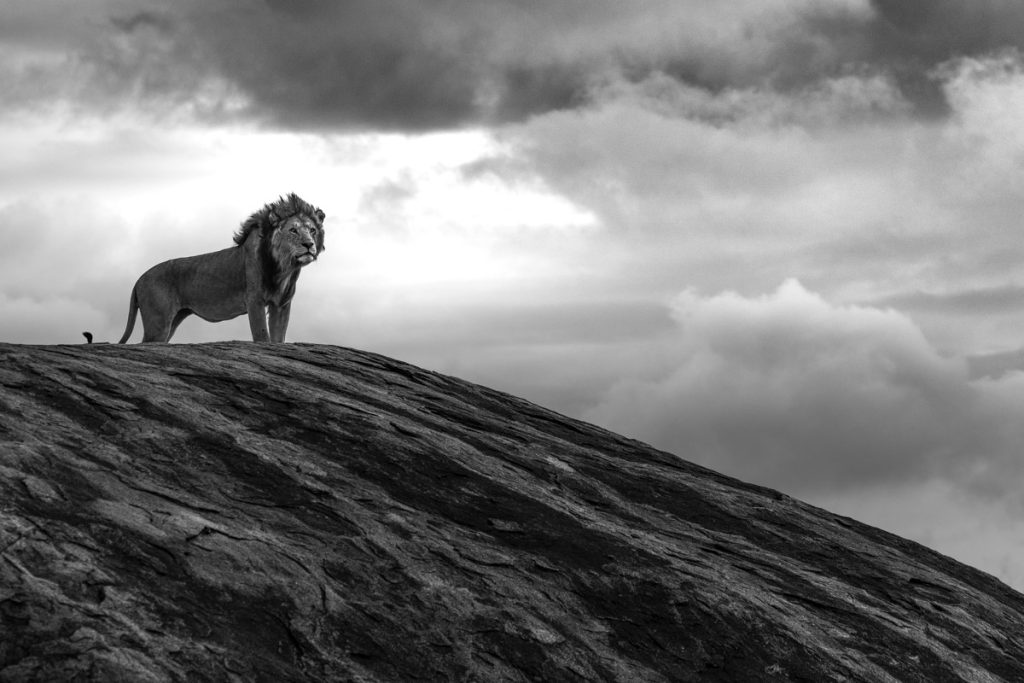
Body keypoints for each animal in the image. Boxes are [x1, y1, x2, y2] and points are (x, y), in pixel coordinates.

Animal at [118, 193, 325, 343]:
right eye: (293, 230)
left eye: (312, 230)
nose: (309, 245)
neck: (284, 268)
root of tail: (138, 280)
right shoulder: (254, 300)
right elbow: (262, 336)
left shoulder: (281, 305)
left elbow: (278, 338)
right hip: (158, 322)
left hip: (173, 319)